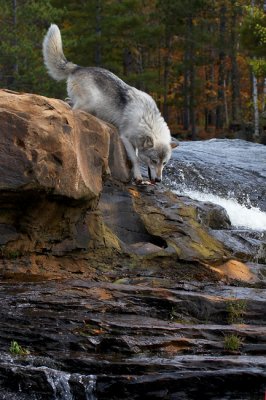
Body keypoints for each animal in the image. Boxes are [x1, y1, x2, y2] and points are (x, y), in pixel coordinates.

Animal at [42, 23, 178, 183]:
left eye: (164, 163)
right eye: (154, 161)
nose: (158, 180)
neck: (146, 119)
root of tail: (79, 67)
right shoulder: (125, 138)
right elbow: (135, 159)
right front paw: (138, 177)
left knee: (68, 101)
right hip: (91, 103)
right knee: (73, 108)